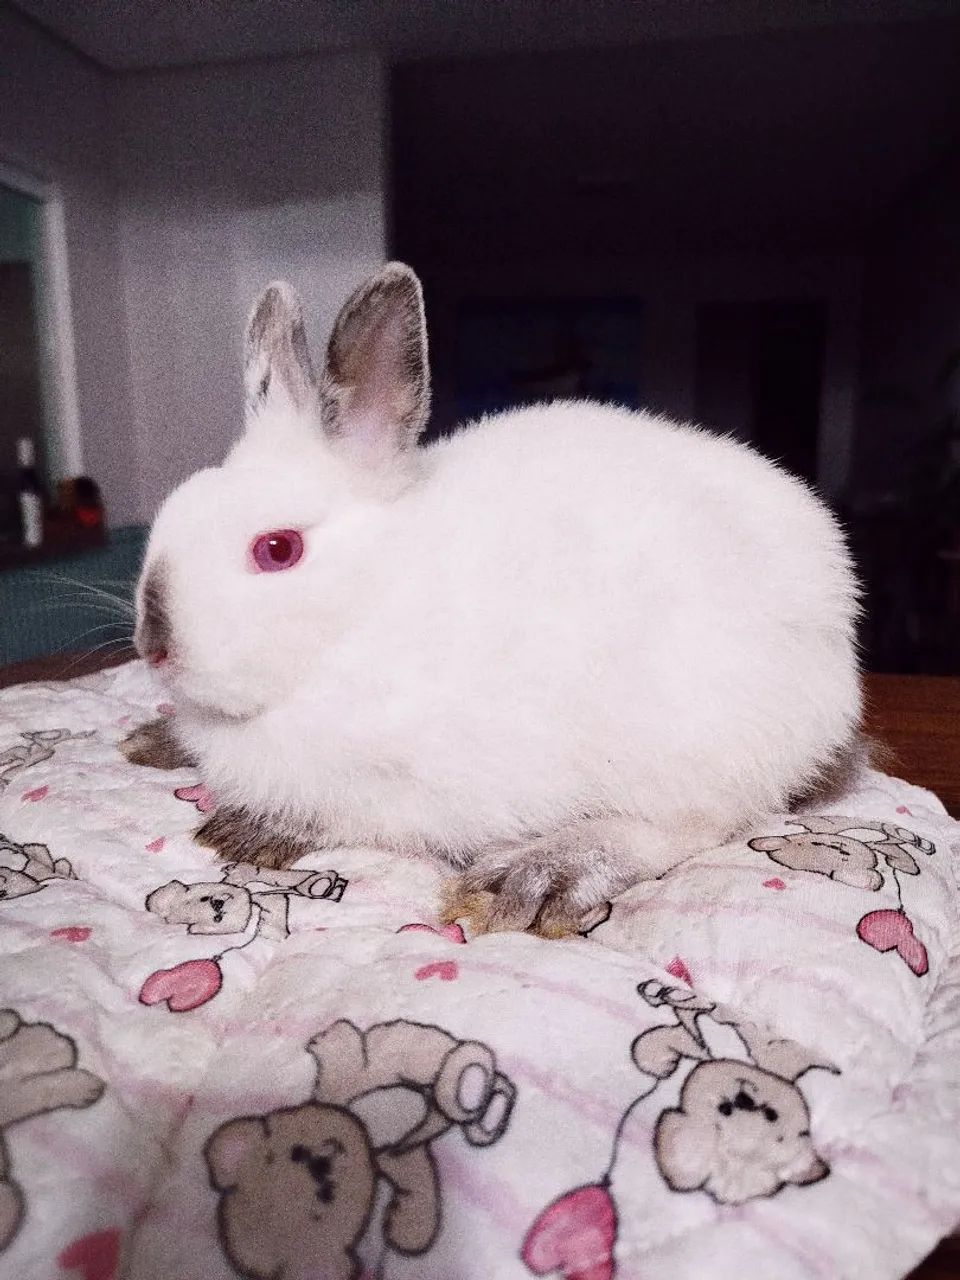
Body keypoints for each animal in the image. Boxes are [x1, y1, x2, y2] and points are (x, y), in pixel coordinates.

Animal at [125, 262, 861, 936]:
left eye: (277, 550)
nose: (154, 647)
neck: (362, 615)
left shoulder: (415, 788)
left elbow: (349, 813)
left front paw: (248, 831)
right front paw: (156, 738)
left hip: (697, 740)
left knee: (691, 827)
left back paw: (538, 874)